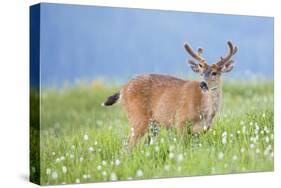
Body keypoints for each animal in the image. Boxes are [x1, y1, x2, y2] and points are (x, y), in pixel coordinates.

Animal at [101, 40, 237, 147]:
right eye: (201, 72)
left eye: (214, 72)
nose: (203, 84)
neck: (204, 112)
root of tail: (122, 89)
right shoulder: (180, 122)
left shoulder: (201, 131)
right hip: (137, 117)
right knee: (128, 144)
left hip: (153, 125)